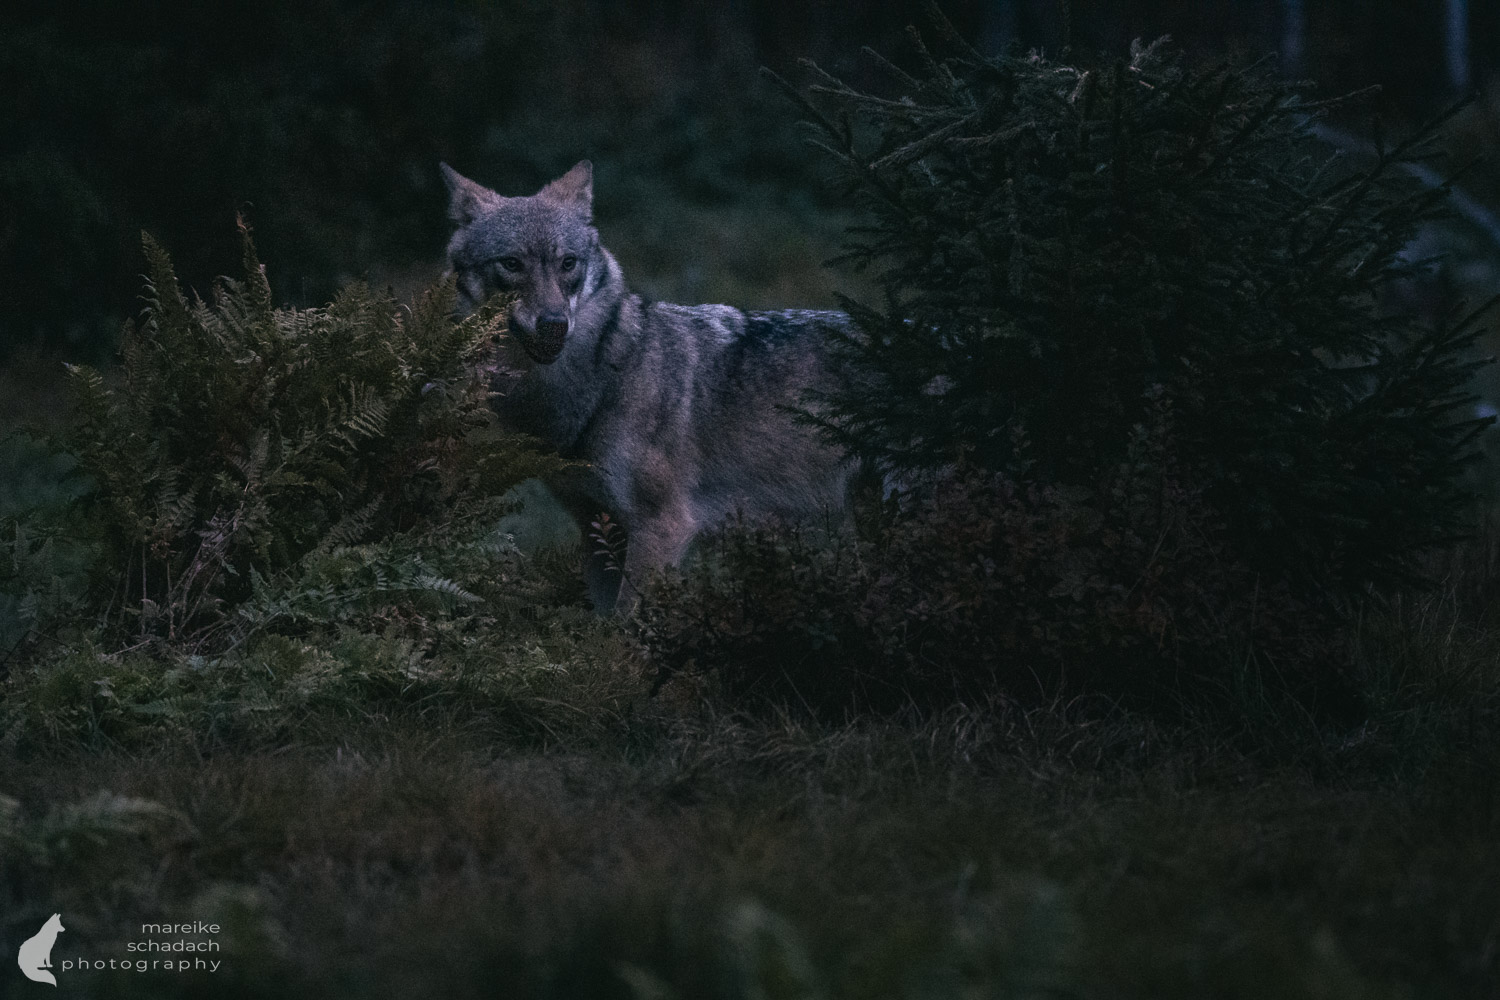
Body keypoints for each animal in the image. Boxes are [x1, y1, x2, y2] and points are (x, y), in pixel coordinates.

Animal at [440, 160, 857, 611]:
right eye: (512, 264)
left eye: (568, 263)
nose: (554, 324)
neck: (604, 381)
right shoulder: (596, 527)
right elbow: (602, 623)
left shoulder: (662, 527)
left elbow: (627, 621)